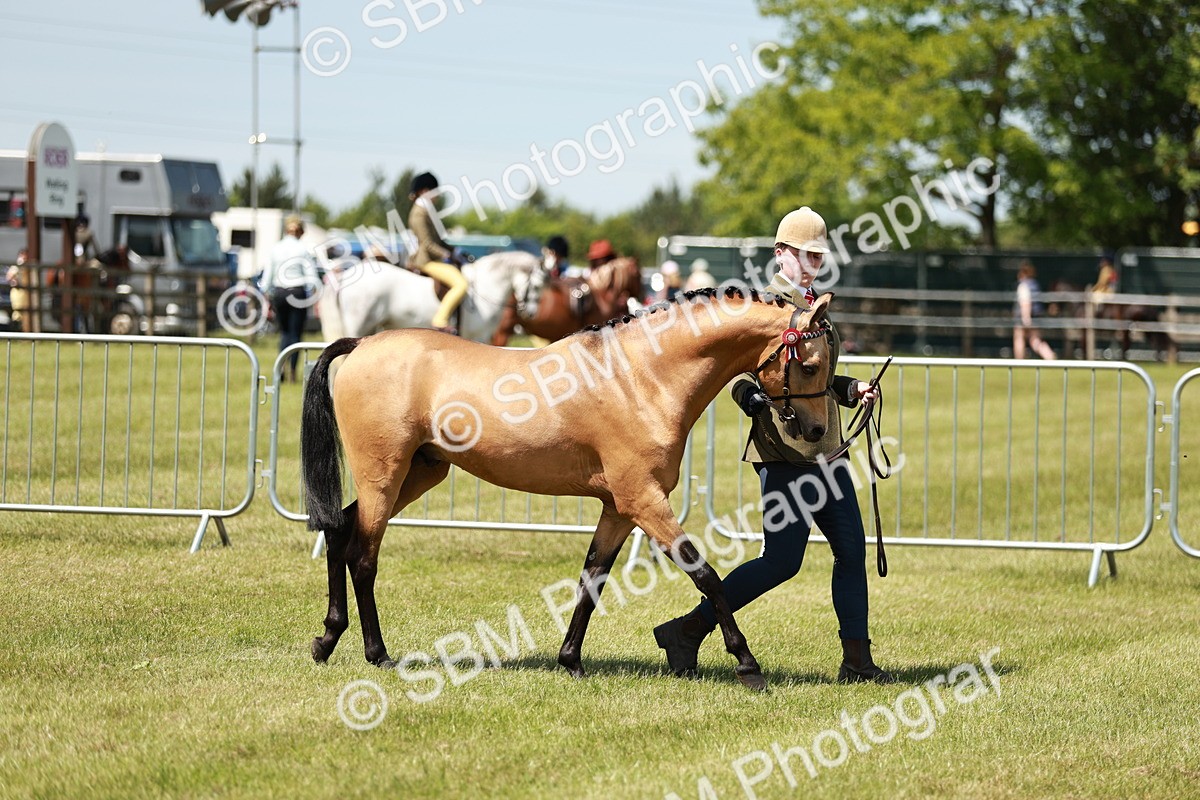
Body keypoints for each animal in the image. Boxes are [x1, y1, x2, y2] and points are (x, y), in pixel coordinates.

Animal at [300, 288, 838, 690]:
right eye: (810, 365)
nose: (816, 430)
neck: (640, 378)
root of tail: (361, 344)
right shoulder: (644, 501)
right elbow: (706, 575)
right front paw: (747, 664)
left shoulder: (618, 509)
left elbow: (592, 579)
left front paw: (571, 660)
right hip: (384, 477)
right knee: (363, 557)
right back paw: (377, 654)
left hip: (419, 473)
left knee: (340, 532)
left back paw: (327, 640)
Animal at [316, 250, 542, 344]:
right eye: (538, 286)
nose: (531, 314)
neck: (485, 285)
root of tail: (345, 275)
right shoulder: (479, 336)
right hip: (358, 326)